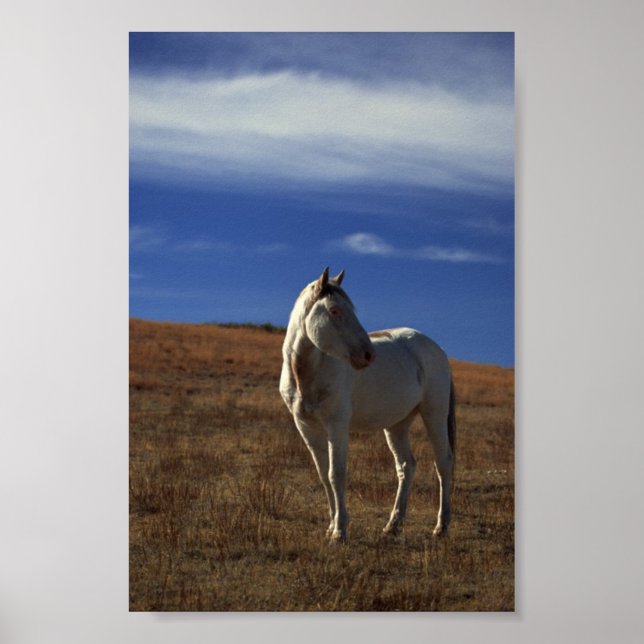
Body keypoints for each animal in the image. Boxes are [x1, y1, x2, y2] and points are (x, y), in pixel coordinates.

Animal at [279, 267, 456, 542]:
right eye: (334, 311)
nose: (368, 355)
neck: (306, 373)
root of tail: (438, 349)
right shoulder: (306, 427)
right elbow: (323, 475)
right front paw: (332, 525)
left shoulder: (337, 425)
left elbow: (336, 474)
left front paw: (340, 531)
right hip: (397, 424)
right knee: (406, 466)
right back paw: (393, 525)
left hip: (434, 413)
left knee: (443, 462)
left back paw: (441, 526)